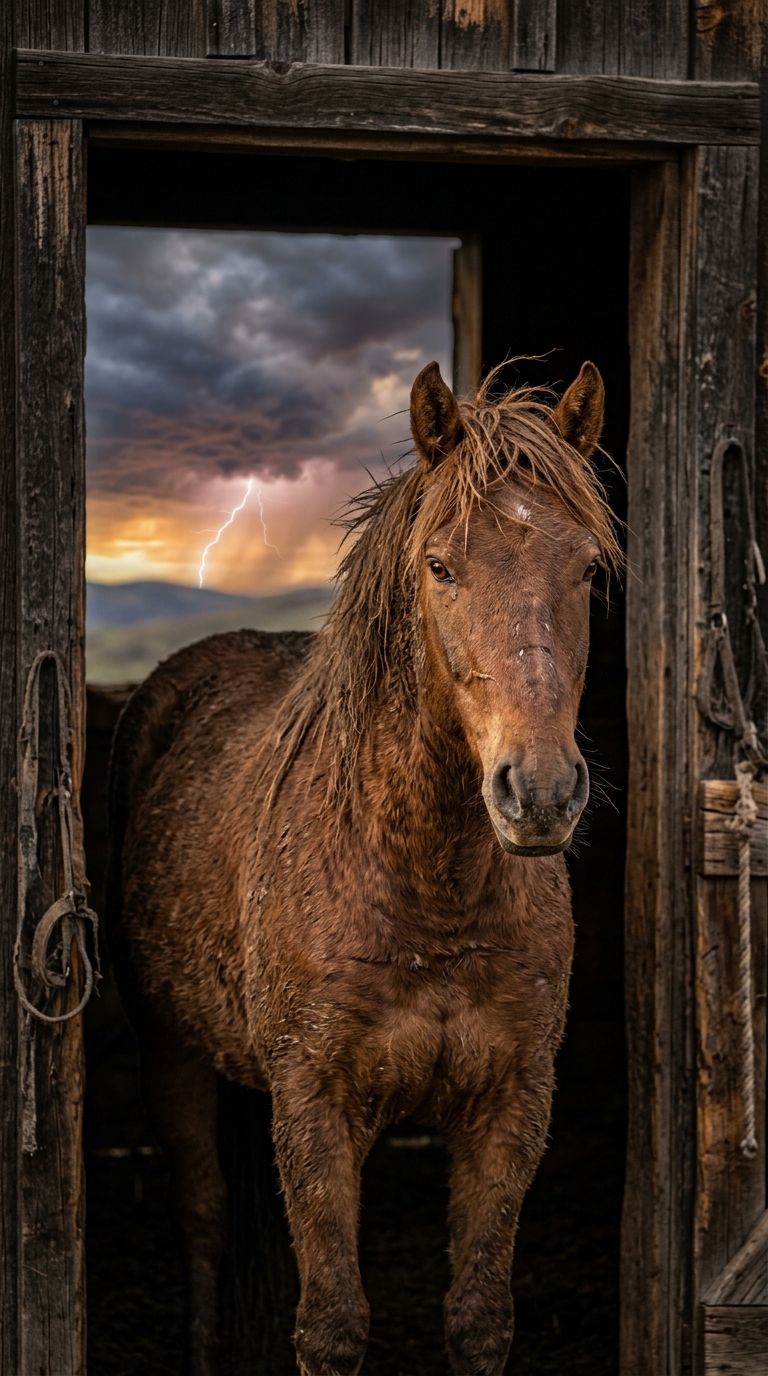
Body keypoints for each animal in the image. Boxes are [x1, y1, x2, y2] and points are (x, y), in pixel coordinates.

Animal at [105, 357, 620, 1376]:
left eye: (585, 568)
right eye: (440, 566)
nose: (540, 792)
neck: (426, 887)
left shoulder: (511, 1105)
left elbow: (478, 1319)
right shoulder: (314, 1106)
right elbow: (333, 1326)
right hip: (169, 1051)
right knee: (203, 1218)